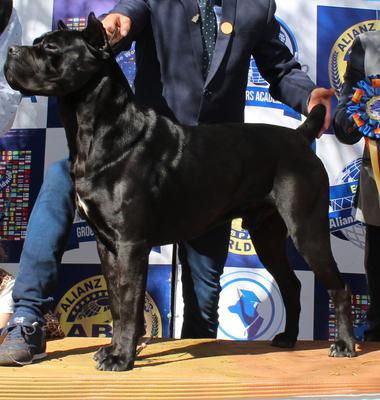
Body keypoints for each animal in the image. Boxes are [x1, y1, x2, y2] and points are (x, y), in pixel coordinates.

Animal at [4, 12, 358, 370]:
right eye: (38, 43)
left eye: (51, 47)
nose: (11, 51)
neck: (98, 130)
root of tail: (300, 136)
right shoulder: (107, 243)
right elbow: (117, 302)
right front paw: (115, 349)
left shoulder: (130, 243)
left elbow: (129, 302)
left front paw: (121, 357)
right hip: (267, 234)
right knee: (292, 284)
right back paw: (287, 338)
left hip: (306, 228)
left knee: (339, 286)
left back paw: (344, 344)